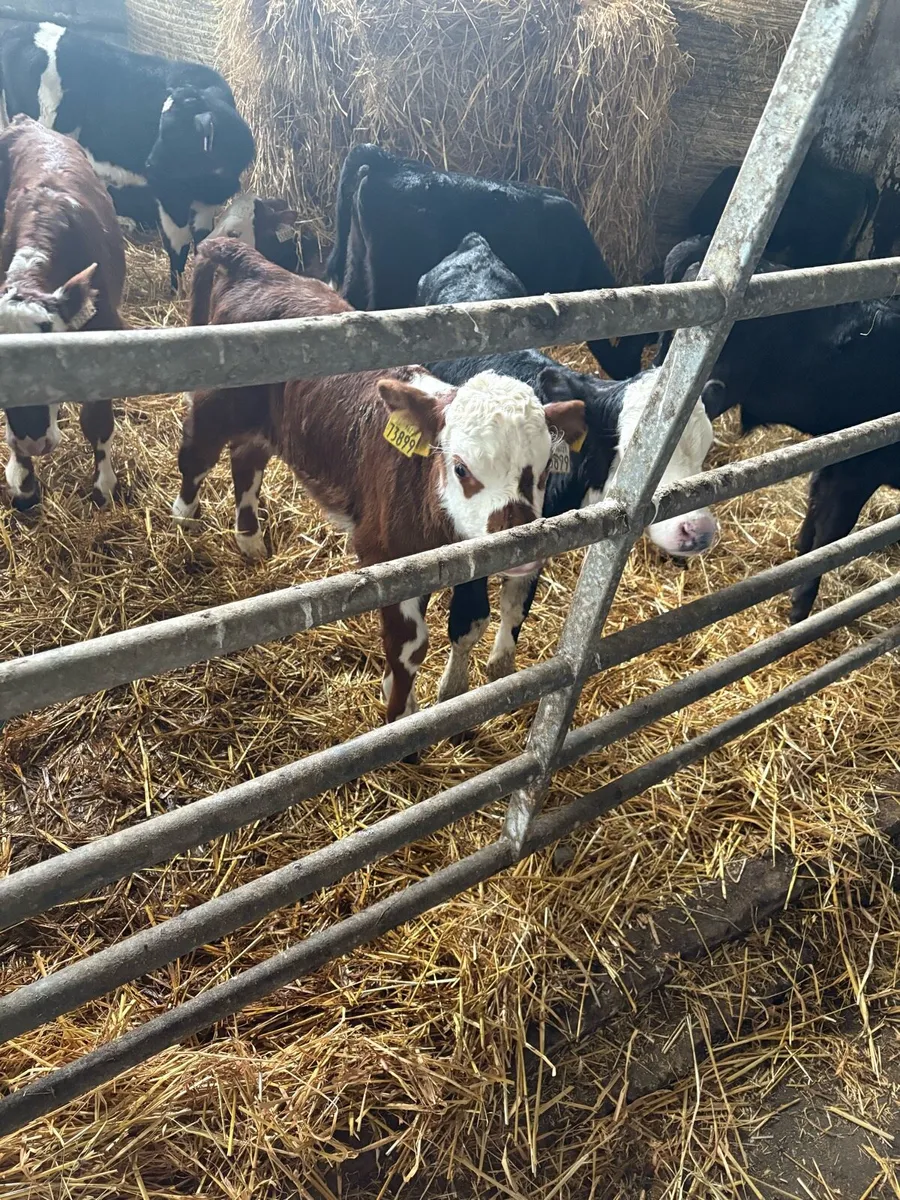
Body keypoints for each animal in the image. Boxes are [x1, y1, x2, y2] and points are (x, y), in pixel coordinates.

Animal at [0, 22, 255, 289]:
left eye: (181, 134)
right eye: (161, 128)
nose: (150, 165)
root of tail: (24, 28)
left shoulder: (205, 203)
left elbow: (204, 239)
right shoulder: (169, 195)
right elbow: (178, 245)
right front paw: (177, 290)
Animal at [171, 237, 587, 726]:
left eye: (543, 471)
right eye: (461, 468)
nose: (519, 544)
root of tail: (253, 263)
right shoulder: (385, 556)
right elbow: (409, 648)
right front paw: (400, 718)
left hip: (268, 424)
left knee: (247, 460)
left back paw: (250, 539)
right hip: (216, 406)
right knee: (197, 457)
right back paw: (184, 518)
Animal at [417, 233, 717, 698]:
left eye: (705, 448)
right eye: (632, 448)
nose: (699, 530)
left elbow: (516, 606)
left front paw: (502, 672)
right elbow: (469, 620)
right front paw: (452, 690)